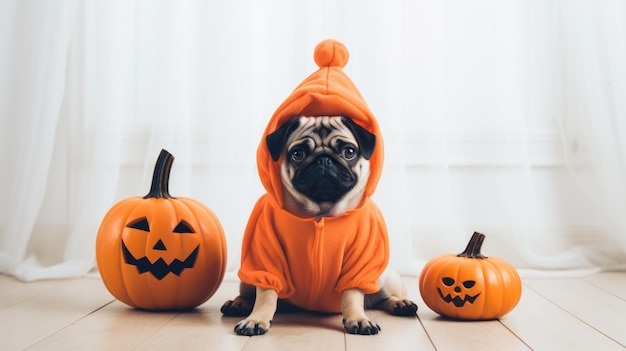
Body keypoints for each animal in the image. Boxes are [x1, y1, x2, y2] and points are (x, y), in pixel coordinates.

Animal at [219, 117, 414, 336]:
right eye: (298, 154)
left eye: (349, 152)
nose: (323, 160)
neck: (320, 213)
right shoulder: (266, 262)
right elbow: (266, 295)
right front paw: (256, 319)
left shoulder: (359, 262)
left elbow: (352, 295)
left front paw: (358, 318)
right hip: (248, 277)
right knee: (248, 294)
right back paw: (237, 304)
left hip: (384, 277)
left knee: (383, 298)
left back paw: (401, 304)